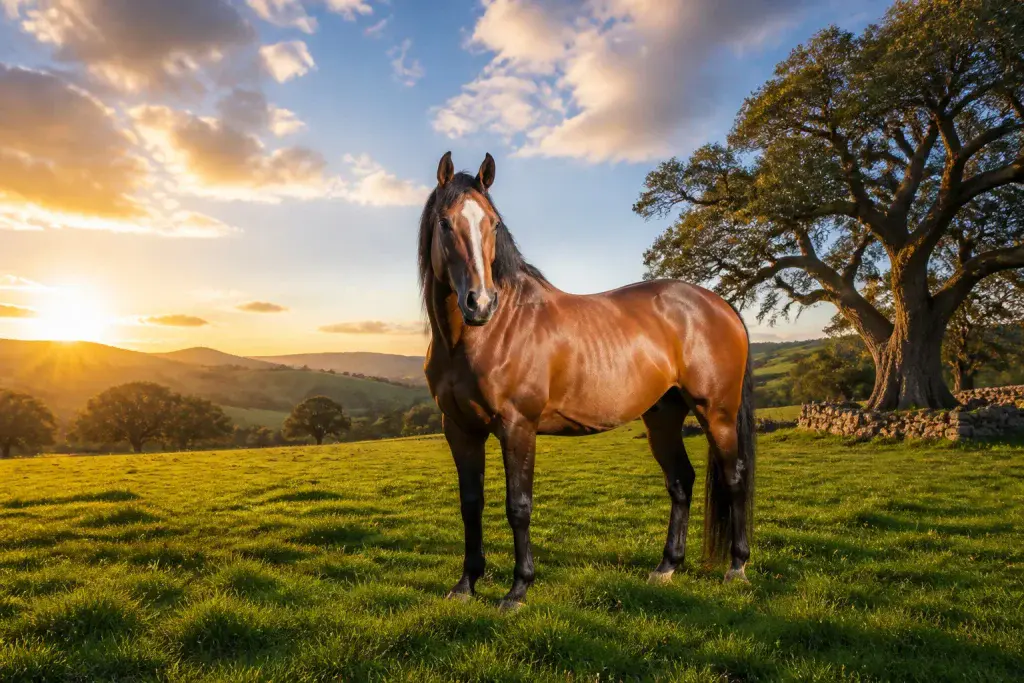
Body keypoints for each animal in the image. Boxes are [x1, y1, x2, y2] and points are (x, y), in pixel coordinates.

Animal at [420, 152, 755, 609]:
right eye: (445, 223)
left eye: (493, 223)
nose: (480, 303)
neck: (485, 334)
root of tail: (720, 304)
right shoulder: (460, 429)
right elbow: (471, 503)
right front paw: (466, 584)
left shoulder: (517, 426)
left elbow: (518, 506)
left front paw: (518, 589)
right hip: (662, 416)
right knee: (680, 481)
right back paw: (667, 567)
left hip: (717, 412)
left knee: (734, 477)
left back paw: (736, 567)